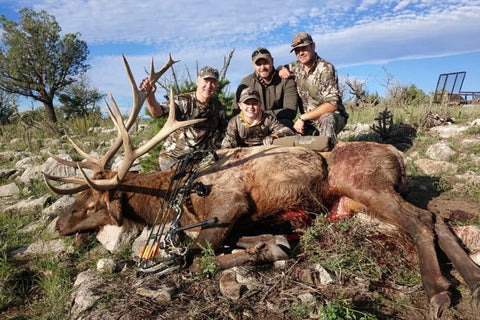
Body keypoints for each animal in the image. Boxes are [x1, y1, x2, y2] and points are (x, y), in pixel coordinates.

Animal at [42, 55, 480, 320]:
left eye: (88, 202)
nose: (59, 225)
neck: (175, 193)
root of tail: (397, 156)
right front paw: (269, 242)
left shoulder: (229, 203)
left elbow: (198, 257)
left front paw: (266, 249)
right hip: (365, 200)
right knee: (438, 217)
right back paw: (473, 280)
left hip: (367, 186)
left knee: (421, 220)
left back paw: (439, 292)